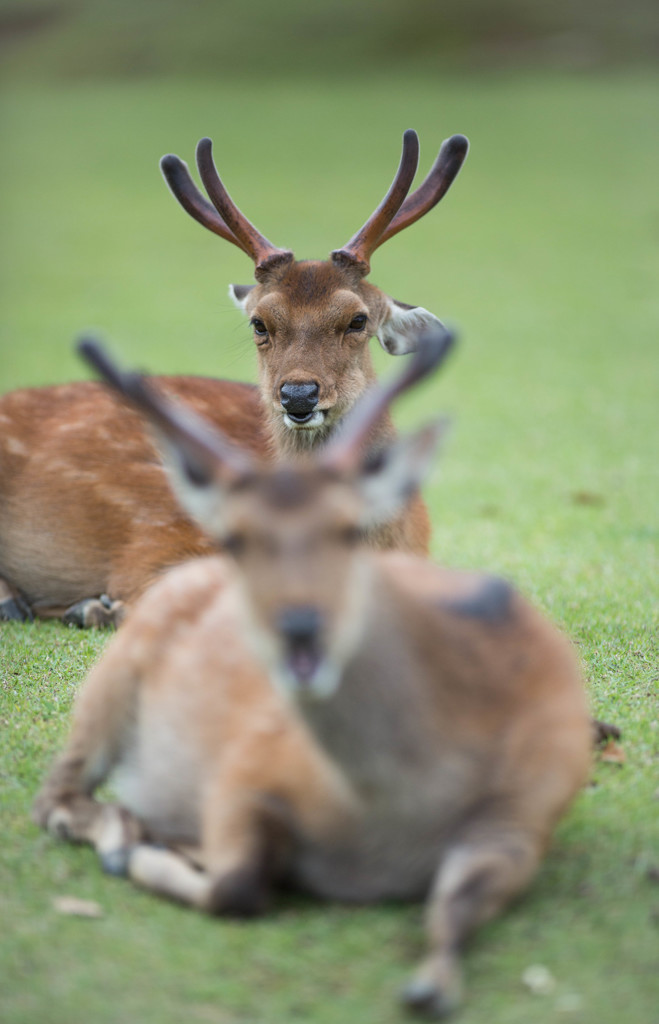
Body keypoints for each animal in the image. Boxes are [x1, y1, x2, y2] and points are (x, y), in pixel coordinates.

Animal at [34, 333, 593, 1015]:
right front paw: (146, 854)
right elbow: (236, 885)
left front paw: (430, 986)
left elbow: (456, 906)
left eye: (350, 530)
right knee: (57, 798)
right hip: (110, 683)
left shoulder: (523, 817)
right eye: (235, 537)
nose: (300, 625)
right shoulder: (245, 770)